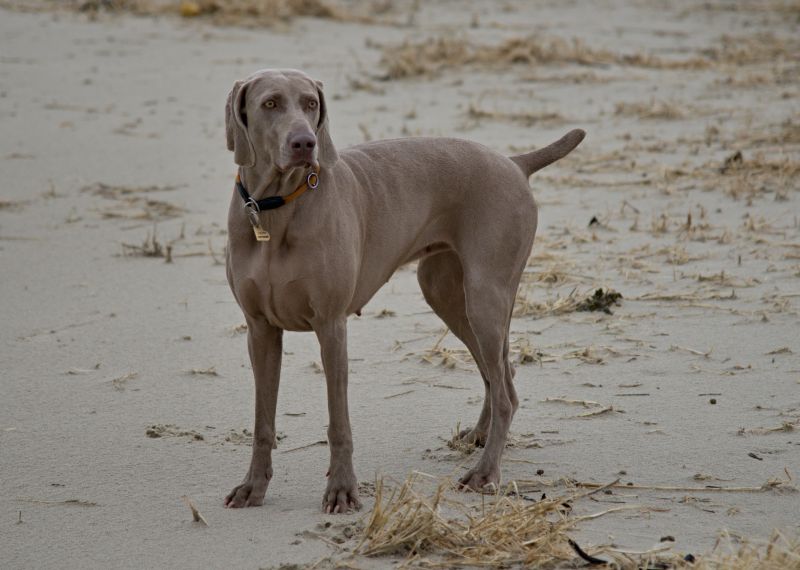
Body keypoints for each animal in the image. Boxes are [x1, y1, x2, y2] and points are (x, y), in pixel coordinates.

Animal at [222, 67, 584, 510]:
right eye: (270, 103)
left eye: (310, 104)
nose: (305, 142)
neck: (276, 208)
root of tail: (514, 164)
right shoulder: (260, 329)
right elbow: (263, 421)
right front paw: (253, 487)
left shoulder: (331, 325)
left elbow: (339, 422)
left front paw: (341, 490)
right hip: (447, 292)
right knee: (499, 371)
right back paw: (479, 436)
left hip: (485, 295)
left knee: (504, 392)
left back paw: (485, 472)